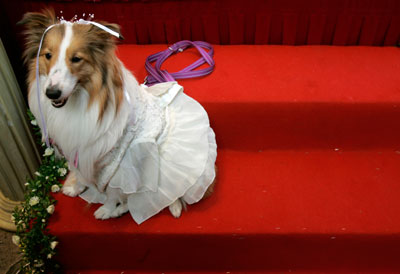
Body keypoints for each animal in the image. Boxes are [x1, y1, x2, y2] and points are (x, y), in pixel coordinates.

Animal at [20, 9, 217, 225]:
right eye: (48, 55)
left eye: (76, 59)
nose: (52, 93)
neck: (83, 100)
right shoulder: (80, 149)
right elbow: (81, 174)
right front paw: (76, 186)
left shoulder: (117, 164)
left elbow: (112, 192)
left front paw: (106, 209)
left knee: (164, 196)